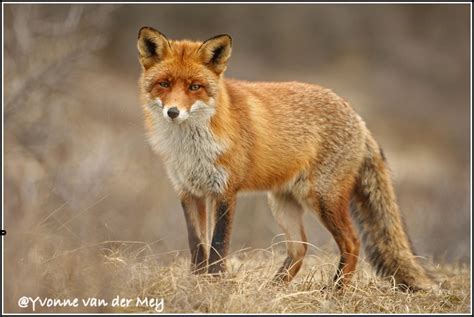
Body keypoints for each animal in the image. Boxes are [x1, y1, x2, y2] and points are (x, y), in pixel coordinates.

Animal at [135, 25, 436, 290]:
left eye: (194, 87)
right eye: (164, 84)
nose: (173, 112)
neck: (190, 149)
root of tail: (358, 118)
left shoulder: (225, 191)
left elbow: (218, 247)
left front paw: (213, 286)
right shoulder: (189, 191)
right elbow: (197, 246)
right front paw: (195, 286)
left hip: (322, 198)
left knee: (351, 243)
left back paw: (336, 291)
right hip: (282, 203)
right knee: (299, 249)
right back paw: (273, 289)